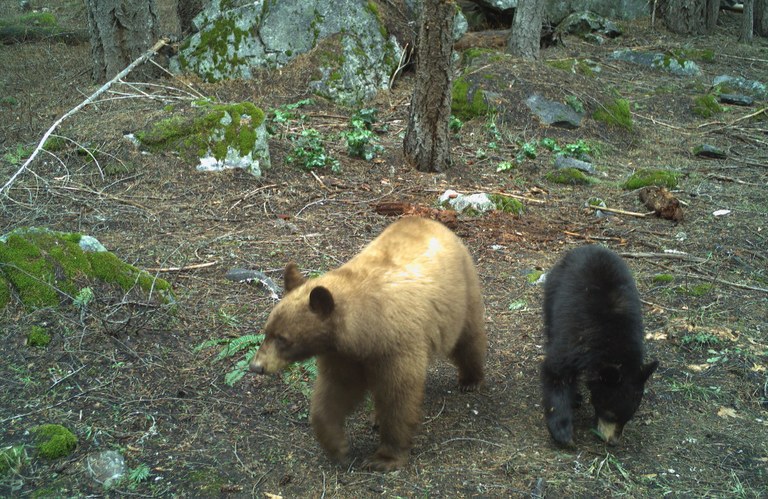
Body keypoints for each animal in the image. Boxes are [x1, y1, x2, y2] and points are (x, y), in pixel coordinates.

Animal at [249, 216, 487, 472]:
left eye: (283, 338)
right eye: (266, 332)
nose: (256, 366)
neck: (365, 329)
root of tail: (429, 220)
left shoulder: (396, 346)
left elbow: (398, 397)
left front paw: (384, 457)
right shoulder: (343, 355)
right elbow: (335, 391)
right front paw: (337, 447)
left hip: (461, 294)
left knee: (468, 338)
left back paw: (470, 379)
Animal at [541, 244, 658, 447]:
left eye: (629, 416)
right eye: (610, 413)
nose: (613, 441)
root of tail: (589, 246)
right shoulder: (576, 340)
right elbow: (556, 372)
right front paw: (563, 432)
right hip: (553, 291)